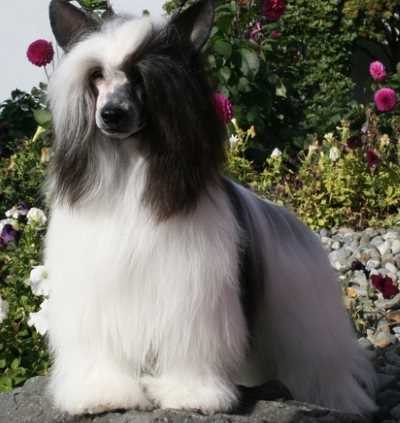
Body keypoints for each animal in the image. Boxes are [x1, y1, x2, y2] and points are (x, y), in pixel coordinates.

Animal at [45, 0, 376, 418]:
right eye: (96, 76)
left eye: (141, 77)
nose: (111, 114)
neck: (131, 171)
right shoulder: (95, 289)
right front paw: (102, 393)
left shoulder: (189, 290)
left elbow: (188, 343)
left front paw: (191, 393)